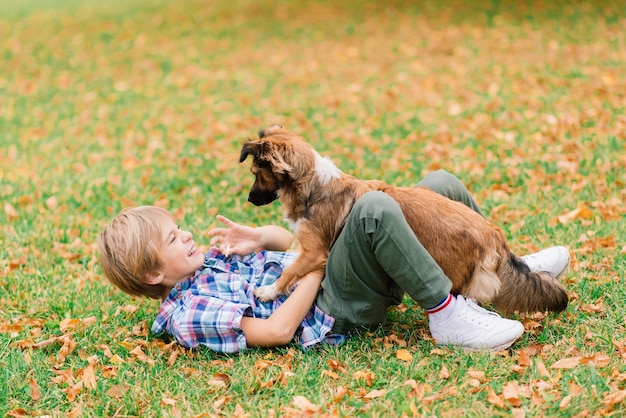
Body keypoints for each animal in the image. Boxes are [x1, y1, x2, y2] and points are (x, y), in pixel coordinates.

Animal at [236, 125, 568, 314]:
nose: (250, 199)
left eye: (255, 173)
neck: (312, 186)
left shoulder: (314, 251)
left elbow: (290, 271)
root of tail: (493, 234)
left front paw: (269, 291)